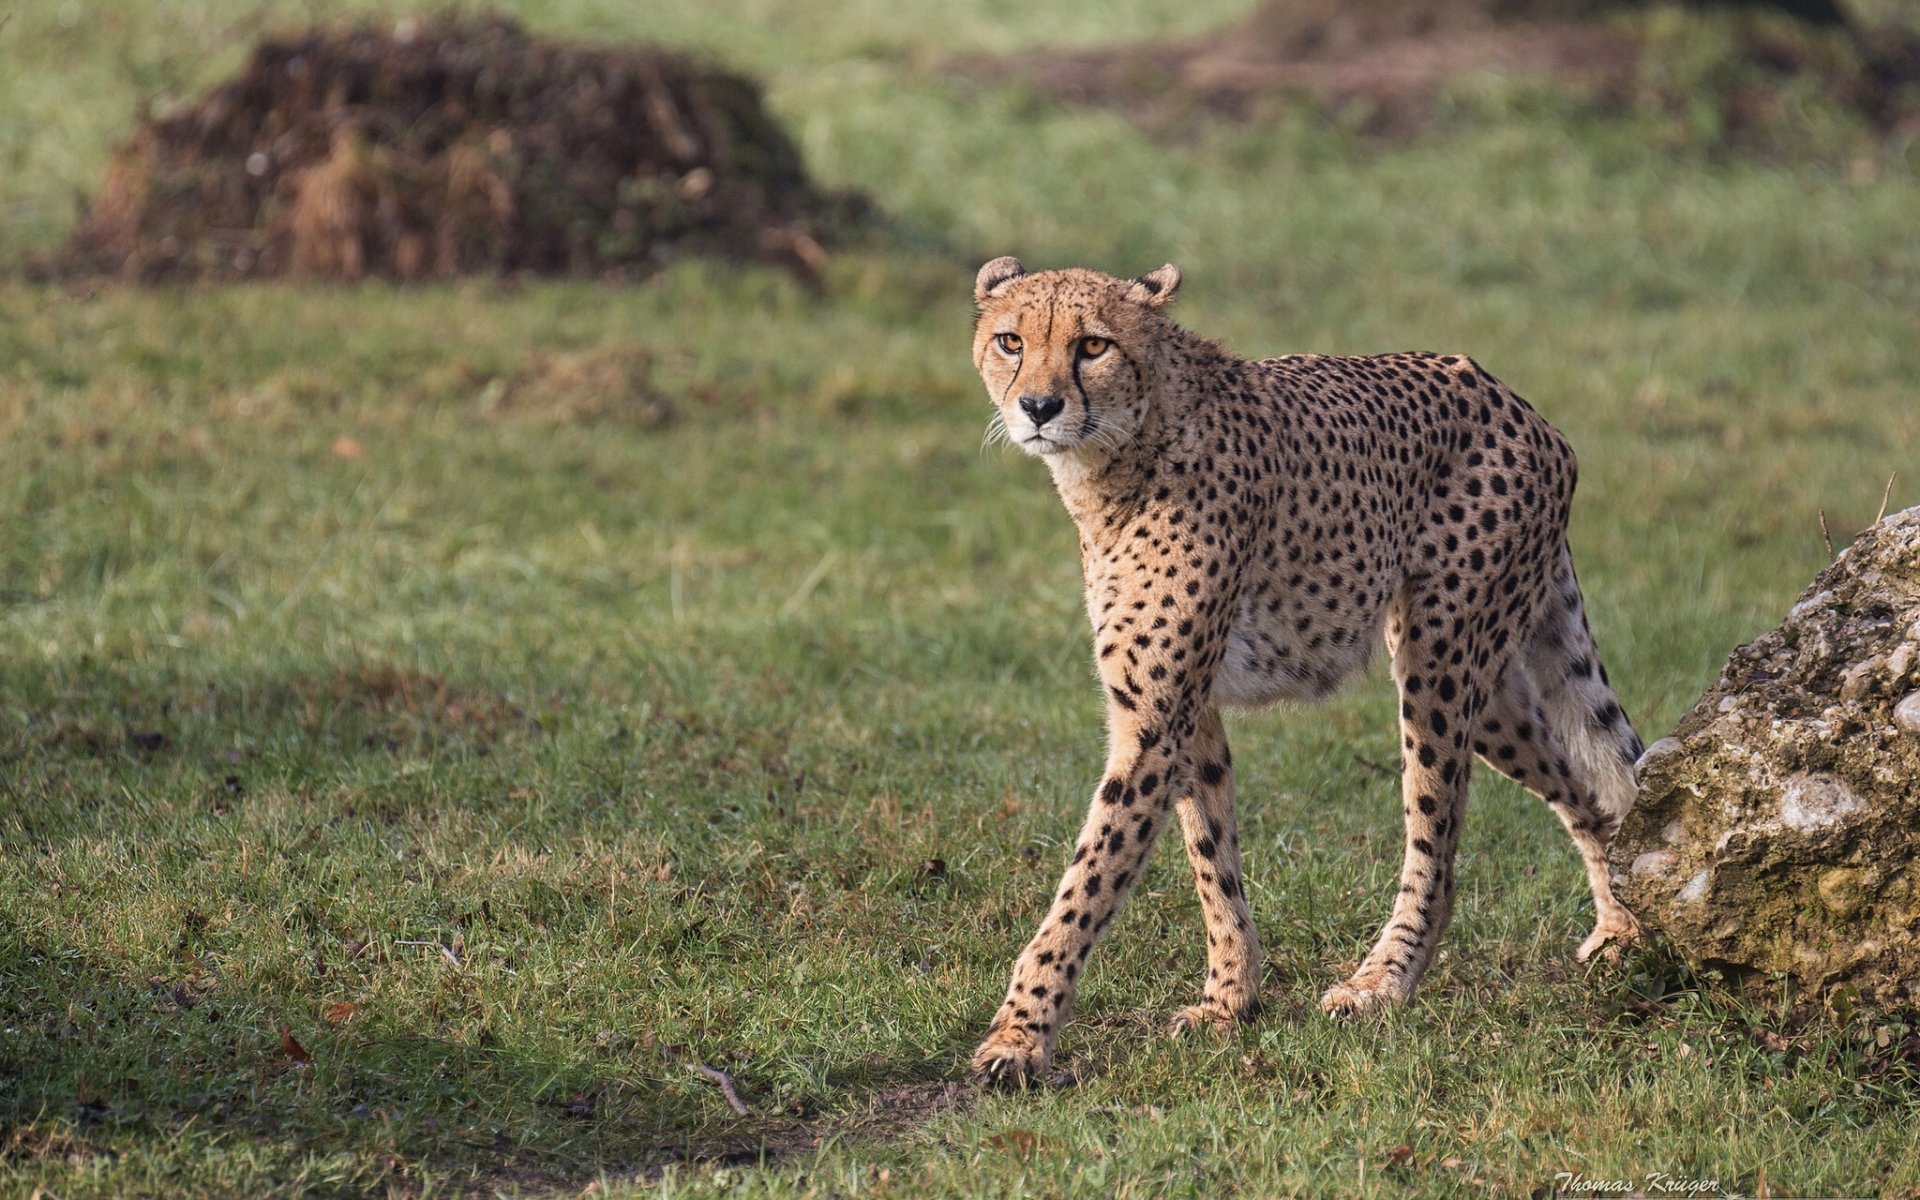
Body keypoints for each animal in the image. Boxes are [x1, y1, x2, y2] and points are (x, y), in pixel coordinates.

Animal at [967, 257, 1643, 1082]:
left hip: (1439, 663)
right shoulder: (1188, 713)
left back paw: (1382, 982)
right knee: (1586, 787)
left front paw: (1020, 1034)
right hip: (1489, 693)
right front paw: (1231, 998)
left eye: (1092, 344)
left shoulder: (1155, 724)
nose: (1038, 405)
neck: (1123, 454)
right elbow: (1211, 856)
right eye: (1011, 340)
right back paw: (1622, 925)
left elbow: (1088, 879)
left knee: (1439, 842)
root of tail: (1512, 398)